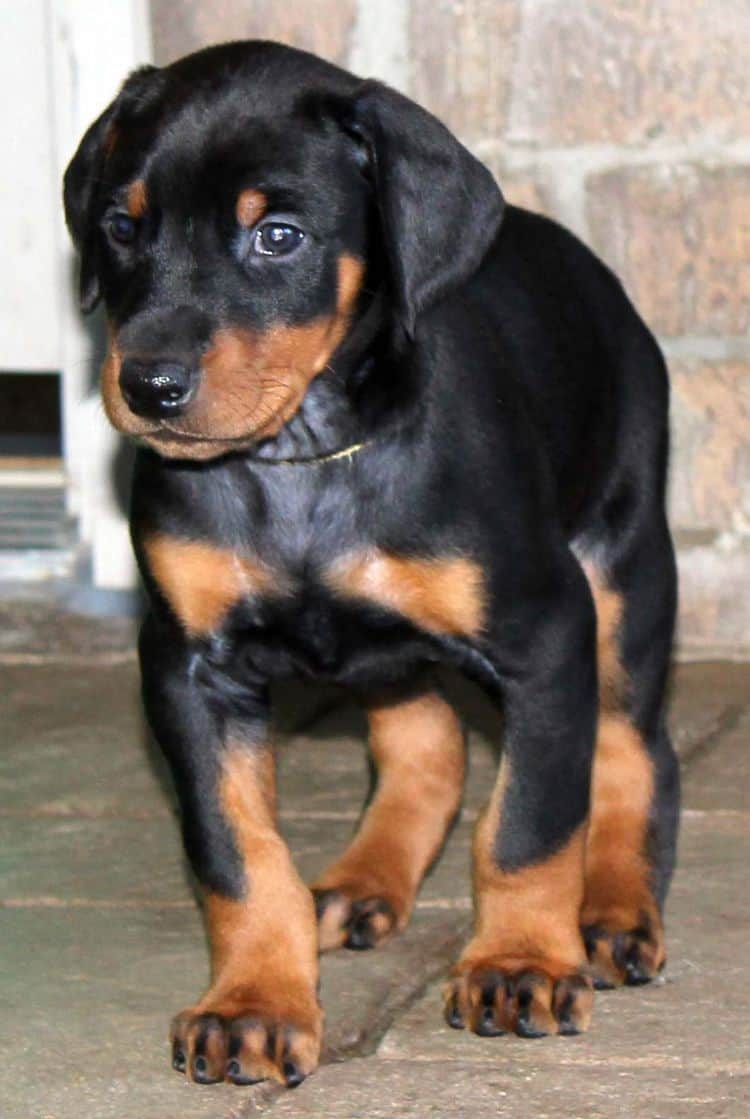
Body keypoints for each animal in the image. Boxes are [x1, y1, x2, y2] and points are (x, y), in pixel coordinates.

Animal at [64, 41, 680, 1083]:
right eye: (120, 225)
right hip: (387, 650)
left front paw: (519, 960)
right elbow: (236, 851)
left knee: (635, 747)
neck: (305, 457)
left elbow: (530, 823)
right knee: (425, 744)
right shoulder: (186, 665)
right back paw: (360, 882)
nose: (147, 386)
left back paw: (612, 908)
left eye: (278, 236)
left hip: (624, 571)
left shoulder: (546, 632)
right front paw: (253, 1002)